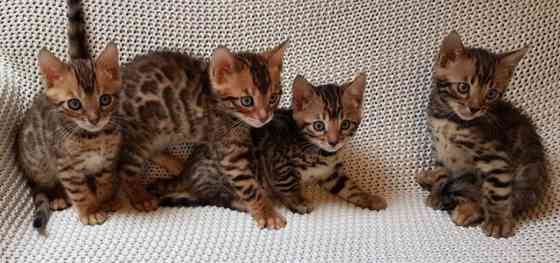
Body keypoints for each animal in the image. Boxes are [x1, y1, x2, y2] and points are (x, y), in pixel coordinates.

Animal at [17, 0, 122, 231]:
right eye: (74, 104)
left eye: (105, 100)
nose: (94, 119)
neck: (94, 137)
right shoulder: (67, 167)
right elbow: (79, 192)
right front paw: (90, 211)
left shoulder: (106, 162)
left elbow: (106, 182)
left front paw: (106, 199)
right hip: (38, 162)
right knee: (42, 185)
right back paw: (56, 196)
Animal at [115, 40, 286, 229]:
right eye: (247, 101)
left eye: (273, 98)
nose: (264, 118)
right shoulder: (229, 154)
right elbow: (249, 187)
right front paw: (267, 213)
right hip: (137, 136)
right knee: (125, 169)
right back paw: (140, 197)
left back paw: (177, 165)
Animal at [151, 73, 388, 217]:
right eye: (319, 125)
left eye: (345, 124)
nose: (333, 141)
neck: (321, 152)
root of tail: (188, 167)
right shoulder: (279, 163)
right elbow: (288, 185)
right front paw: (298, 201)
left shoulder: (332, 173)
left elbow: (349, 187)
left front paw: (369, 198)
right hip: (224, 172)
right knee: (213, 197)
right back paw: (242, 203)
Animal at [416, 31, 548, 239]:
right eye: (463, 87)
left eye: (491, 94)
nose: (474, 108)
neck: (449, 119)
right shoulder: (441, 151)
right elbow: (442, 175)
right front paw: (436, 193)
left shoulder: (494, 156)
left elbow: (497, 191)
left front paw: (498, 221)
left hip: (526, 177)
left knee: (510, 199)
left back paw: (468, 211)